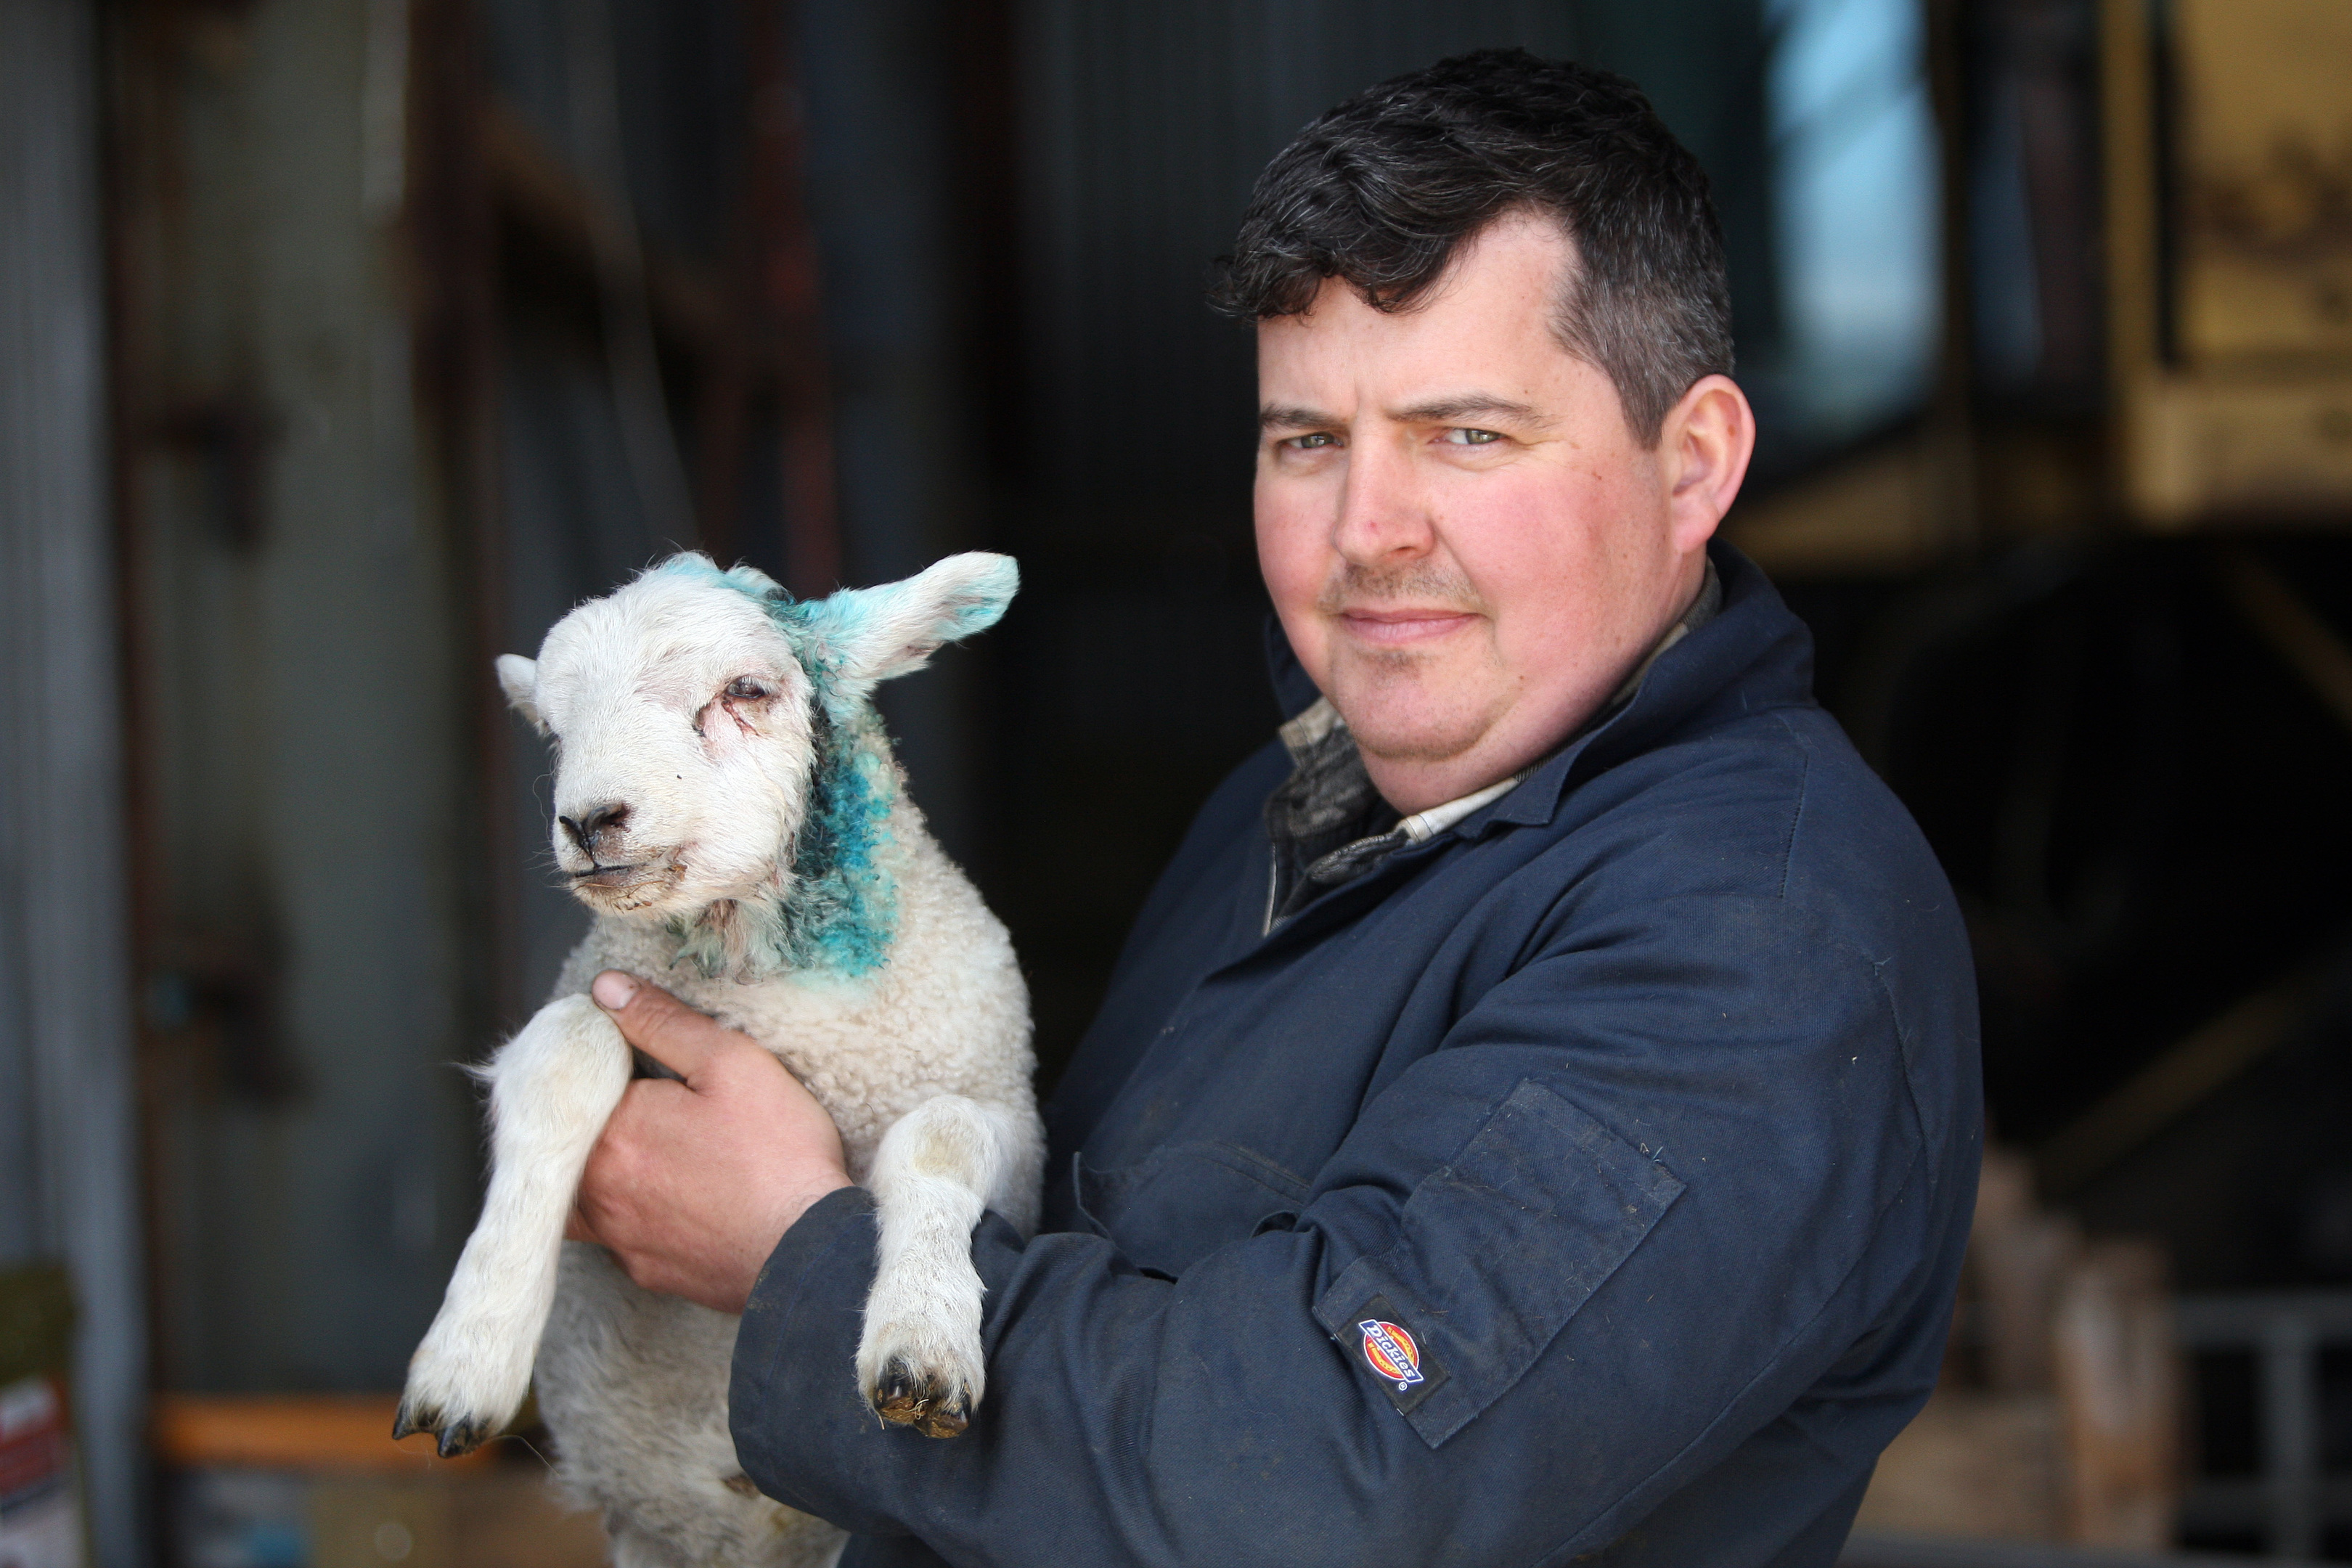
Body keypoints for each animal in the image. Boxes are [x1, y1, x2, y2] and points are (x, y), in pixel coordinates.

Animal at [399, 552, 1044, 1568]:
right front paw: (470, 1355)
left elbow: (939, 1138)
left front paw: (922, 1342)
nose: (590, 820)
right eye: (553, 730)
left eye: (746, 691)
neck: (785, 991)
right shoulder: (593, 991)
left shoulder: (1008, 1115)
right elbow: (567, 1052)